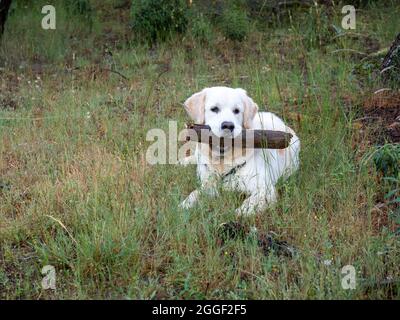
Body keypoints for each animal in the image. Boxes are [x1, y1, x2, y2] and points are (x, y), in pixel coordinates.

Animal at [180, 86, 298, 216]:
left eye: (236, 111)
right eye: (214, 109)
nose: (228, 125)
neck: (223, 161)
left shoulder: (265, 189)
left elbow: (249, 204)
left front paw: (238, 213)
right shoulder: (208, 183)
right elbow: (195, 193)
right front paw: (185, 204)